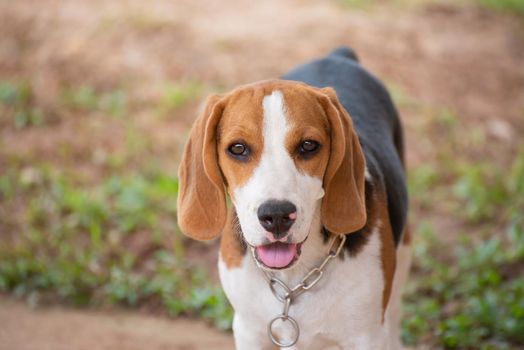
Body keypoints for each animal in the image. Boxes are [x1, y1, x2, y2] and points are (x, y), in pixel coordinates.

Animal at [178, 47, 412, 350]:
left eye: (308, 146)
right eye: (238, 148)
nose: (276, 215)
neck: (292, 283)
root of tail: (338, 54)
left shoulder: (366, 337)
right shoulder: (248, 331)